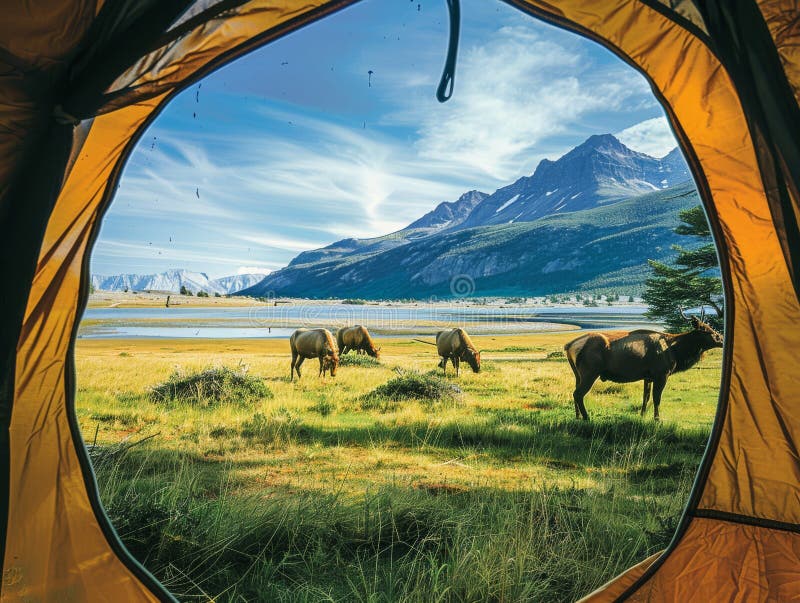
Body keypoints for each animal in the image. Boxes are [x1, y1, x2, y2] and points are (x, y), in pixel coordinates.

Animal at [564, 314, 724, 422]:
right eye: (706, 330)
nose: (721, 338)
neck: (676, 352)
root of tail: (569, 346)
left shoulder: (648, 376)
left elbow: (645, 398)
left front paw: (642, 416)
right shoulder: (661, 373)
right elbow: (657, 398)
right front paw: (657, 419)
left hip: (578, 374)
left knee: (575, 392)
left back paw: (577, 417)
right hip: (590, 372)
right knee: (578, 394)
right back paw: (586, 417)